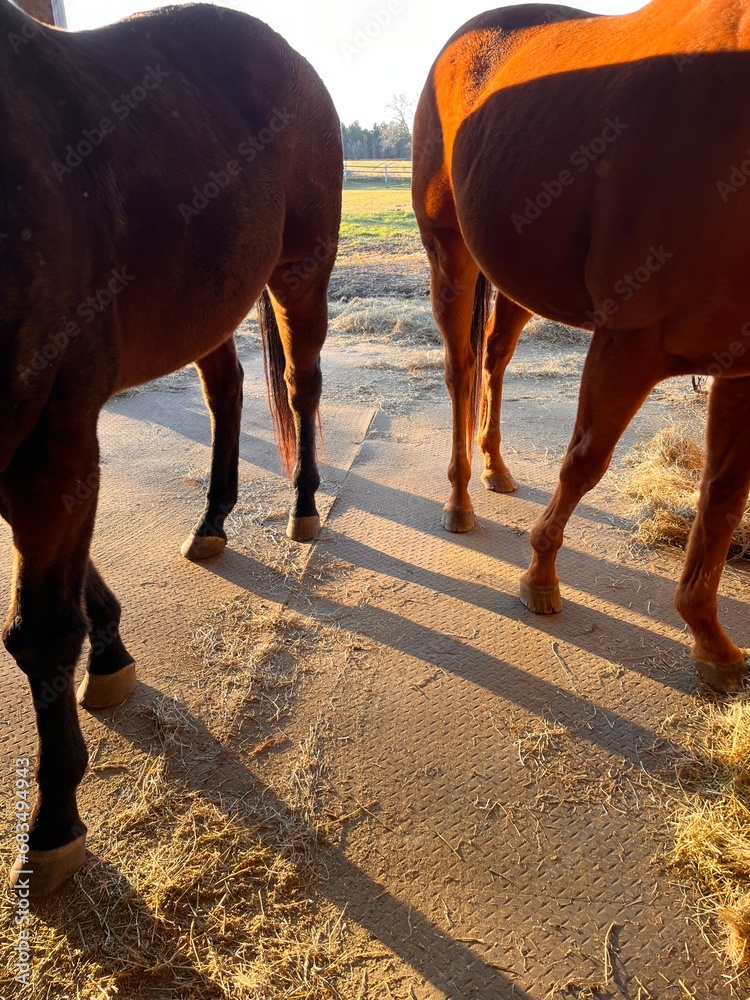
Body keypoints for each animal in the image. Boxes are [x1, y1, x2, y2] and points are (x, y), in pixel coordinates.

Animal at [1, 0, 342, 895]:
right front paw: (113, 652)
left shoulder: (51, 431)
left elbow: (40, 632)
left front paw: (55, 821)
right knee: (227, 389)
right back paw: (214, 517)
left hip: (300, 273)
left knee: (300, 383)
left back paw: (302, 507)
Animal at [412, 0, 750, 695]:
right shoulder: (629, 342)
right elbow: (584, 463)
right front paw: (539, 576)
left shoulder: (744, 370)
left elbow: (723, 501)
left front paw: (710, 640)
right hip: (449, 254)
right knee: (462, 371)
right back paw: (460, 498)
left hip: (515, 278)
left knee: (494, 362)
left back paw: (496, 467)